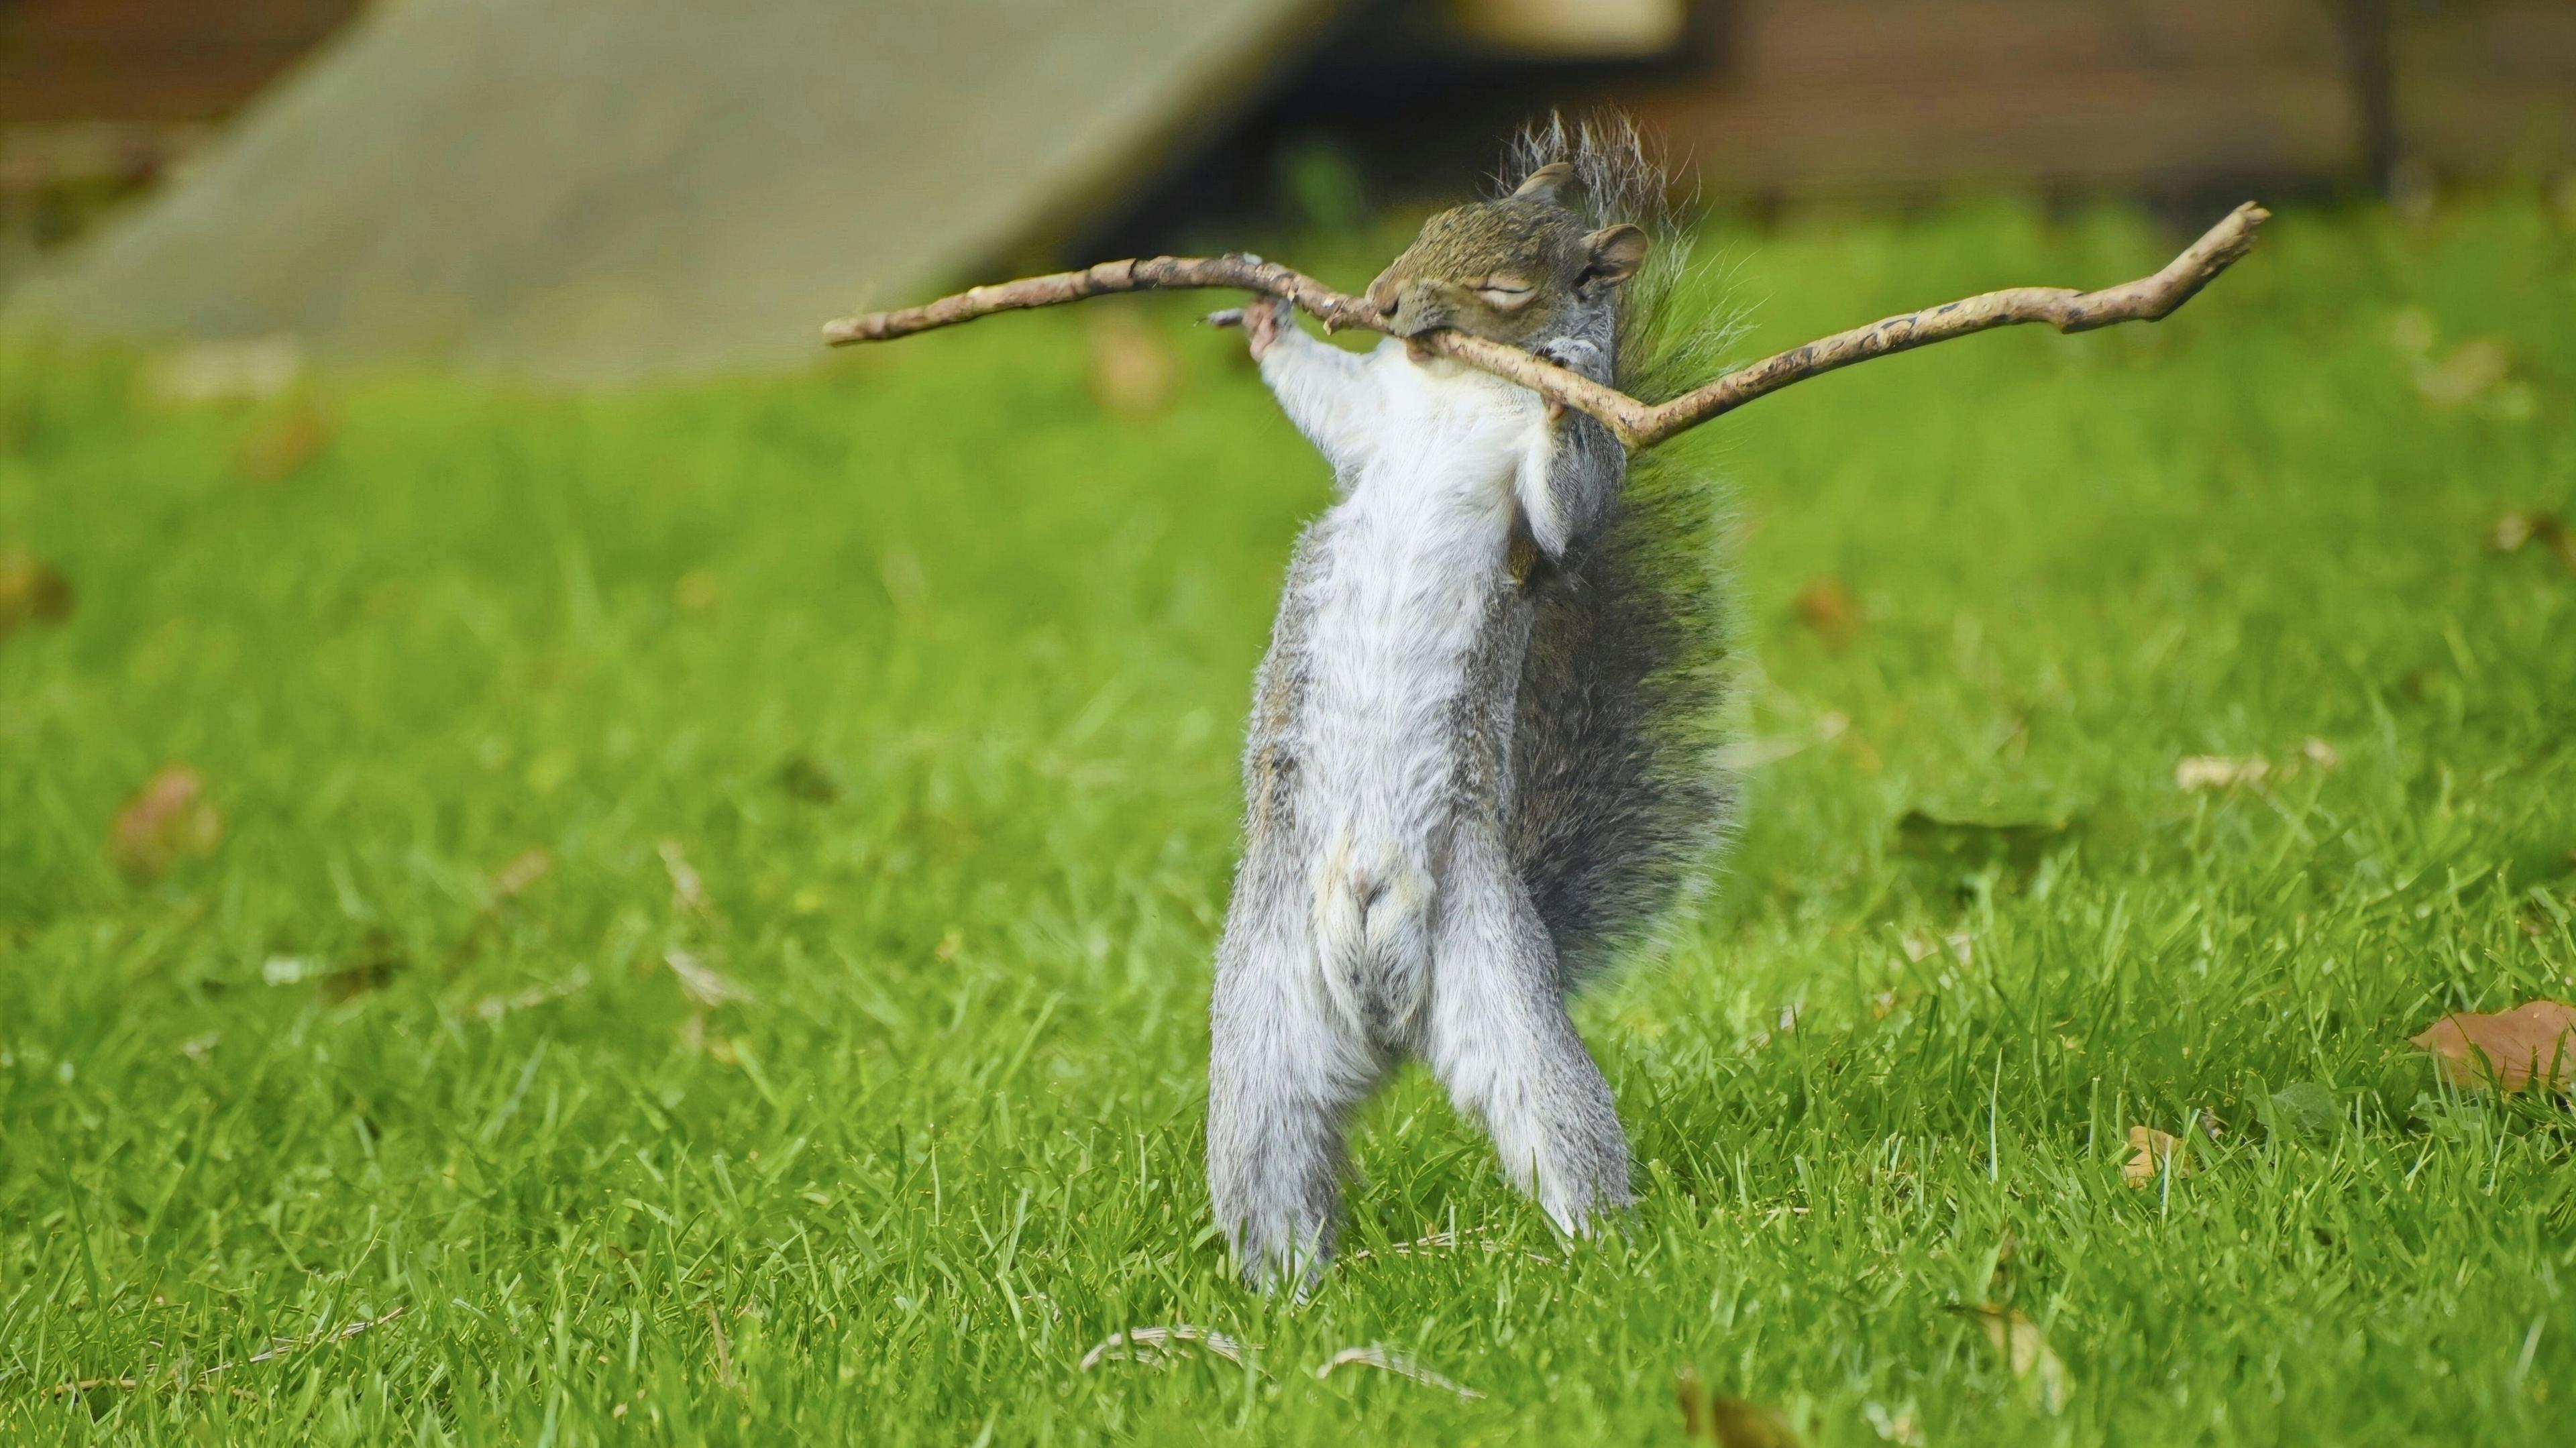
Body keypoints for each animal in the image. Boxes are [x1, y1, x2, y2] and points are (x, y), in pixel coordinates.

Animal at [1200, 115, 1731, 1283]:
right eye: (1432, 220)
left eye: (1504, 285)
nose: (1382, 298)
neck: (1453, 390)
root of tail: (1385, 1020)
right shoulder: (1376, 422)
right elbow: (1335, 402)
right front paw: (1265, 312)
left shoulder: (1544, 514)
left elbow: (1568, 506)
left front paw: (1564, 382)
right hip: (1266, 1032)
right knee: (1274, 1166)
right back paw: (1283, 1294)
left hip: (1498, 992)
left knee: (1558, 1129)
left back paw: (1599, 1259)